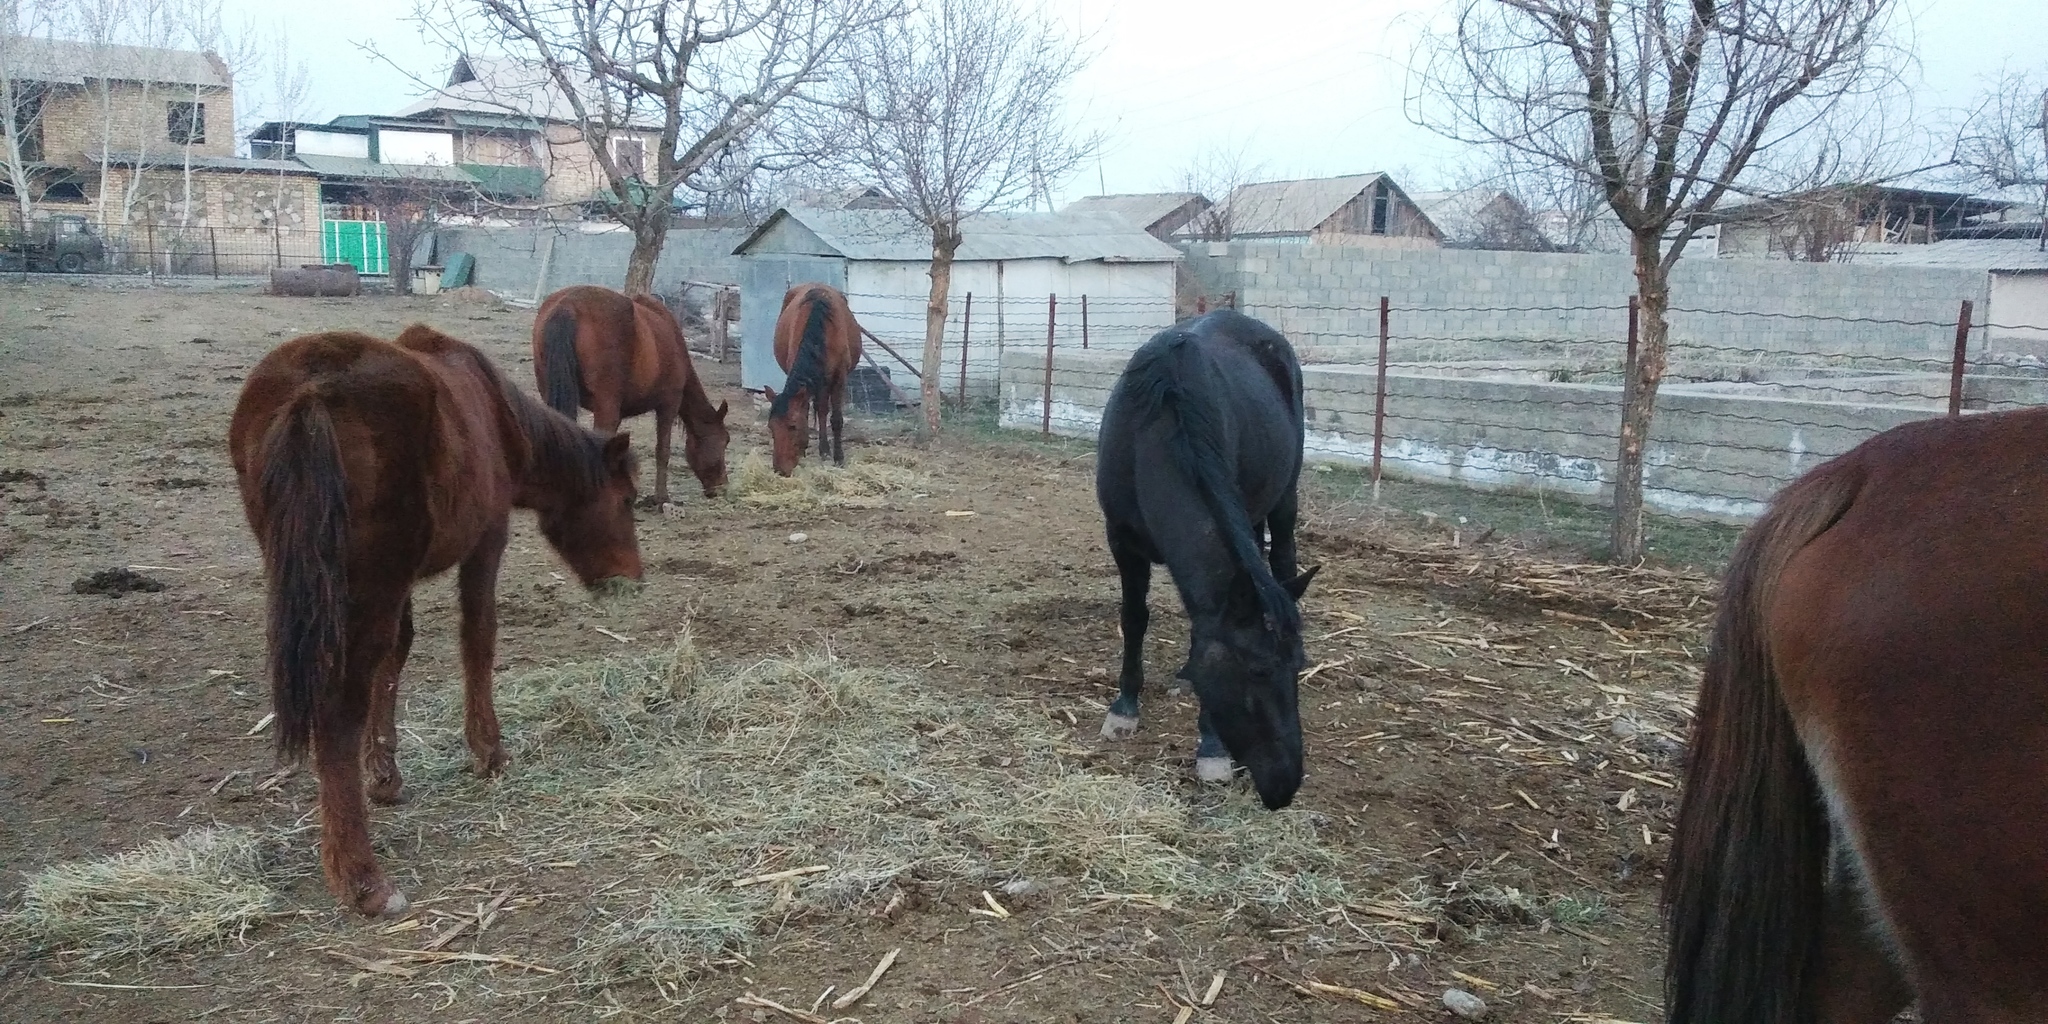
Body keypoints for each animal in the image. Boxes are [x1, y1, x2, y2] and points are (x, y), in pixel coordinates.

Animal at [225, 323, 643, 917]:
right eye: (627, 500)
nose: (633, 578)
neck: (496, 412)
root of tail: (311, 390)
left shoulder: (397, 587)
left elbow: (394, 659)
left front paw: (384, 773)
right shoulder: (486, 543)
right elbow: (478, 640)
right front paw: (488, 750)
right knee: (337, 712)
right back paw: (362, 877)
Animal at [536, 284, 737, 503]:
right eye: (724, 441)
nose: (722, 487)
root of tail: (569, 305)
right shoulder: (669, 404)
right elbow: (662, 450)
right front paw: (661, 497)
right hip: (606, 406)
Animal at [770, 280, 864, 471]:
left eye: (792, 426)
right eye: (771, 427)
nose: (779, 469)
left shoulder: (839, 377)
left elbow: (836, 418)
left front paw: (838, 457)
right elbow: (809, 409)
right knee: (818, 409)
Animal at [1097, 305, 1318, 806]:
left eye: (1298, 667)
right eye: (1256, 671)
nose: (1286, 786)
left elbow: (1202, 634)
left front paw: (1211, 748)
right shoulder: (1121, 541)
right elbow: (1134, 619)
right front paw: (1124, 708)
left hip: (1284, 500)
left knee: (1281, 560)